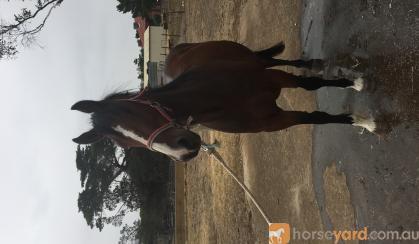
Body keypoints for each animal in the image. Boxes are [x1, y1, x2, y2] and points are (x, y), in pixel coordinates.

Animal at [70, 40, 376, 161]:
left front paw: (360, 105)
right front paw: (361, 120)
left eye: (132, 111)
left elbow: (312, 86)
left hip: (257, 61)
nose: (183, 151)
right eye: (126, 146)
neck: (221, 98)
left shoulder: (274, 79)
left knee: (279, 61)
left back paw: (313, 63)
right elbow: (316, 119)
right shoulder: (275, 120)